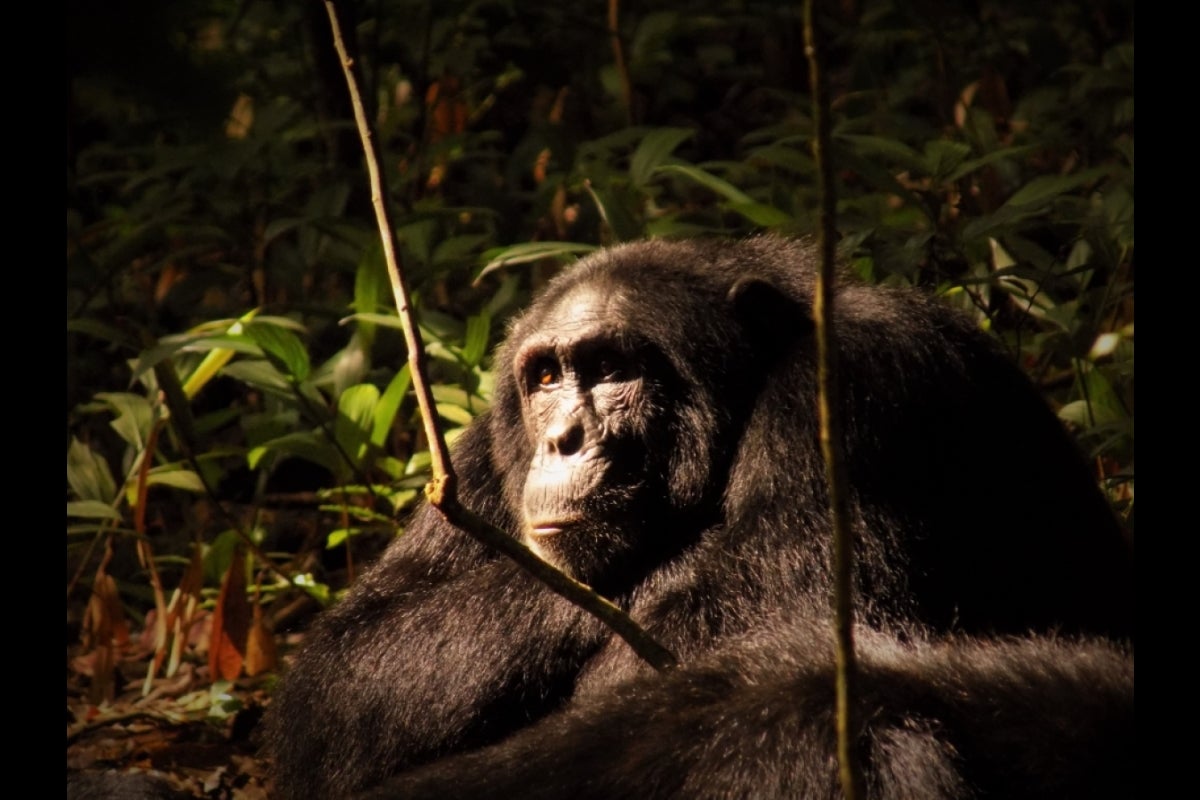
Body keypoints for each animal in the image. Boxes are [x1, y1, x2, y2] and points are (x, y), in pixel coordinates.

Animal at [265, 237, 1132, 800]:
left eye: (610, 368)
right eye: (544, 377)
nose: (563, 436)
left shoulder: (858, 392)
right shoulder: (482, 453)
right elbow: (348, 671)